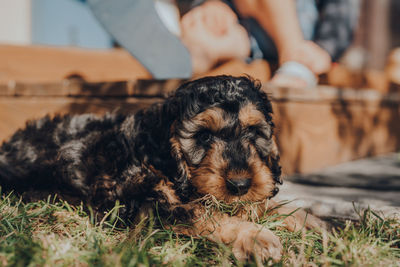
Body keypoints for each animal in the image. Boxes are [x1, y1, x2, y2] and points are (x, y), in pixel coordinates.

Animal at [0, 76, 320, 262]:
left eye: (254, 132)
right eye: (204, 136)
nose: (240, 185)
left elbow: (273, 206)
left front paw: (312, 224)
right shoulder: (143, 204)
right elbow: (202, 212)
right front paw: (256, 237)